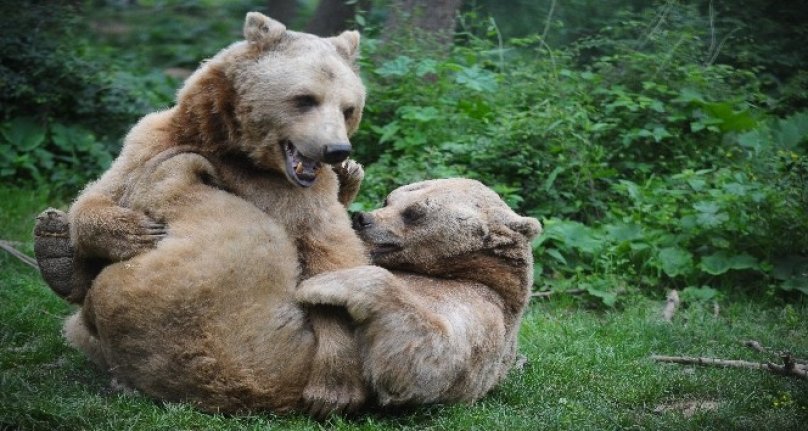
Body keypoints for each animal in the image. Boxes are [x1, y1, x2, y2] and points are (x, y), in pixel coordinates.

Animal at [41, 12, 372, 418]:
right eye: (305, 99)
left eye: (348, 108)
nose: (335, 150)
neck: (235, 149)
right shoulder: (155, 139)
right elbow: (98, 196)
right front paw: (134, 231)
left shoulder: (303, 197)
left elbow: (331, 258)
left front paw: (333, 390)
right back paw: (54, 254)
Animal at [294, 179, 540, 408]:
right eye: (388, 200)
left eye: (413, 212)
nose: (362, 218)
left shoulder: (480, 305)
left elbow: (431, 358)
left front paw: (324, 283)